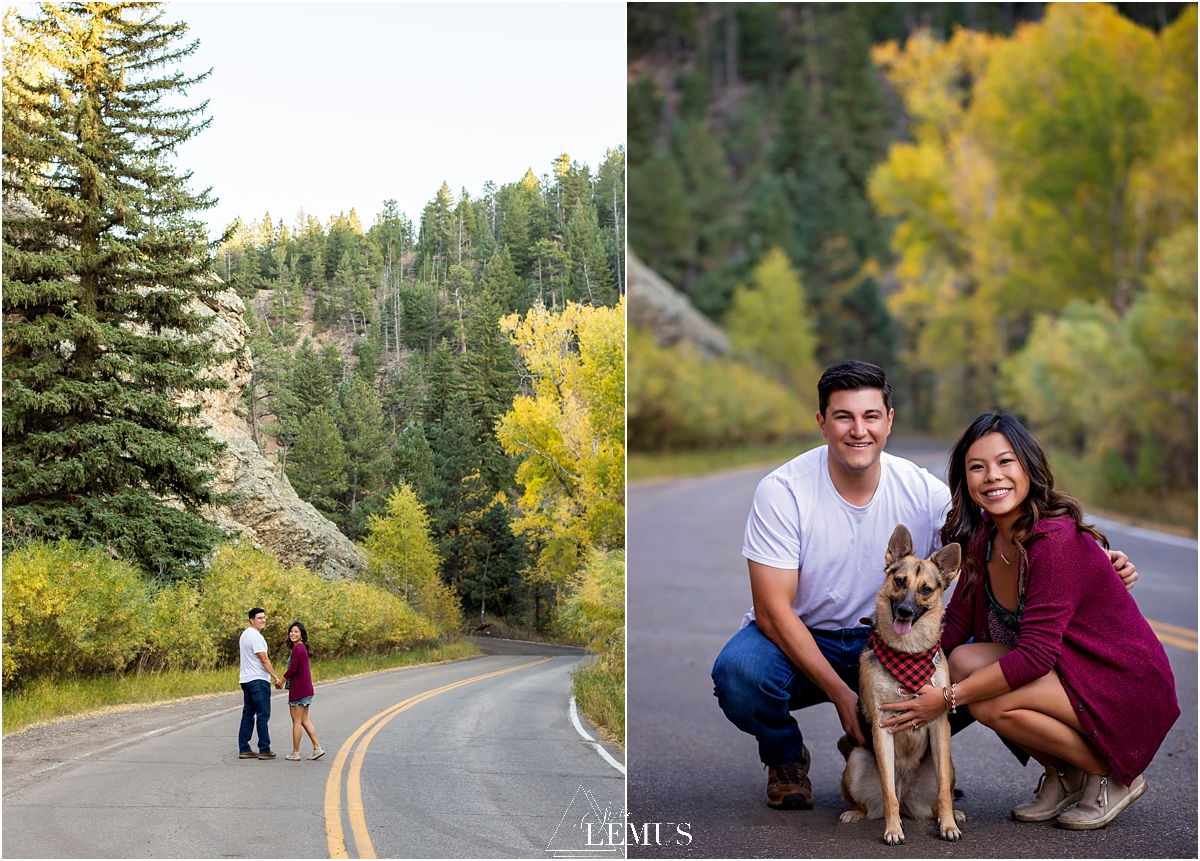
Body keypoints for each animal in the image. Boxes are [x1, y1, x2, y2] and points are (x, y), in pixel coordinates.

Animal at [844, 522, 964, 844]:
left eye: (926, 589)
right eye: (899, 581)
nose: (905, 612)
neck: (907, 652)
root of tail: (907, 792)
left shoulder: (939, 725)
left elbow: (944, 794)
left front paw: (949, 825)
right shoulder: (881, 727)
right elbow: (888, 792)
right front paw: (893, 830)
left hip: (947, 763)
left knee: (939, 797)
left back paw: (949, 815)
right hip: (855, 762)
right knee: (875, 801)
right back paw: (855, 813)